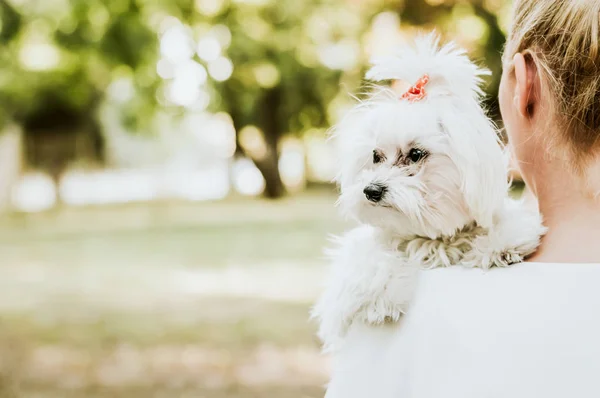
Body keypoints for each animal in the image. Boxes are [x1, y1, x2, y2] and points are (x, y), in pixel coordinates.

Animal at [312, 33, 548, 352]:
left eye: (415, 154)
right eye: (375, 155)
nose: (371, 190)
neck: (433, 238)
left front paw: (502, 242)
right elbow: (366, 256)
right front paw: (380, 296)